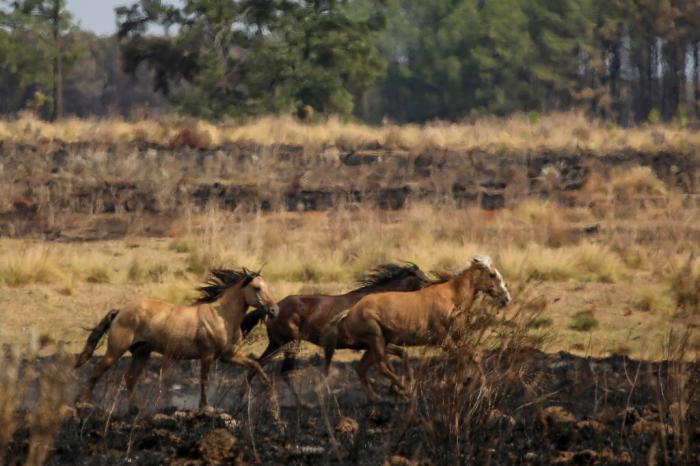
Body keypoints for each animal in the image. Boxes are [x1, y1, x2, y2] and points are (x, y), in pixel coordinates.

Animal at [73, 268, 276, 410]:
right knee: (97, 372)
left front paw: (270, 391)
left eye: (268, 287)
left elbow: (255, 365)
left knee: (130, 377)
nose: (274, 310)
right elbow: (204, 380)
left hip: (142, 352)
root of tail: (120, 311)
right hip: (116, 350)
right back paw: (82, 403)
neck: (222, 317)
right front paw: (205, 407)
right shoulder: (208, 356)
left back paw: (133, 409)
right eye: (257, 288)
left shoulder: (228, 356)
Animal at [241, 262, 432, 396]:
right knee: (281, 371)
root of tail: (273, 308)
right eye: (422, 279)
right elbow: (392, 360)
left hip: (275, 344)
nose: (433, 286)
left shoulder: (376, 344)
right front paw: (403, 387)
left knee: (256, 368)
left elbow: (400, 355)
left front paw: (399, 387)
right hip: (287, 344)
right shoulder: (371, 343)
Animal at [322, 255, 508, 400]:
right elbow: (462, 358)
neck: (451, 297)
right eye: (492, 274)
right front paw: (453, 384)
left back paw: (376, 399)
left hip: (375, 345)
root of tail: (349, 312)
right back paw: (405, 389)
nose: (506, 298)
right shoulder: (444, 340)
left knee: (361, 369)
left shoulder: (457, 337)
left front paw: (482, 388)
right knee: (381, 366)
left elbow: (473, 355)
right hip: (376, 340)